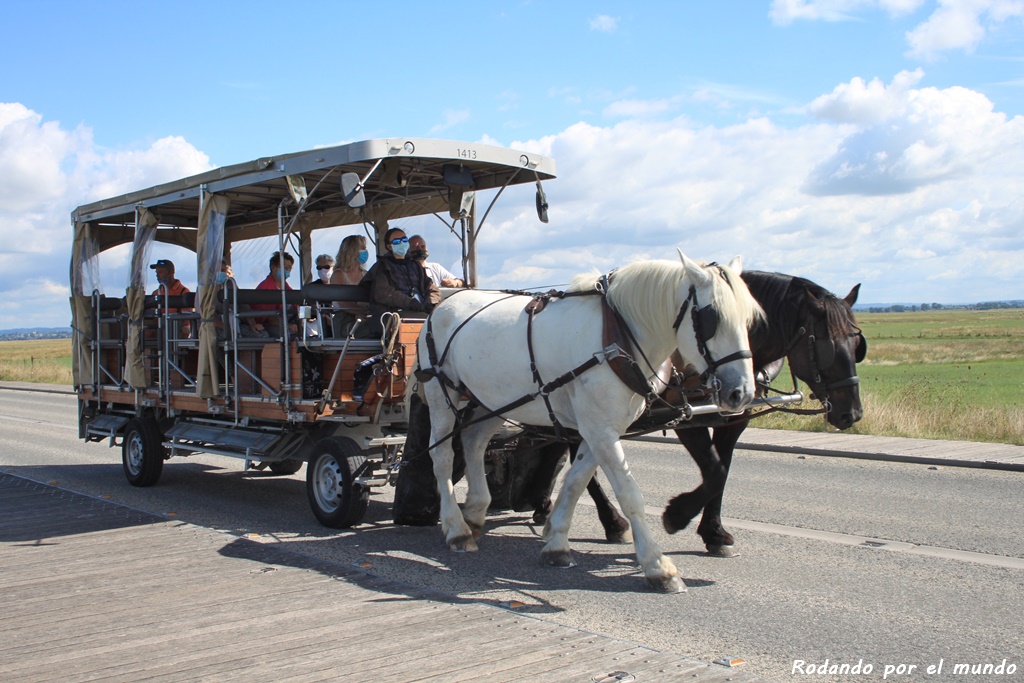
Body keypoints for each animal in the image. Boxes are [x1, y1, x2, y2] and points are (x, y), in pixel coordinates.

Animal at [415, 250, 761, 593]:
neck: (617, 335)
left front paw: (556, 542)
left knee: (473, 441)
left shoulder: (603, 428)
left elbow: (576, 481)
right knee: (442, 456)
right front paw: (657, 565)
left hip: (493, 400)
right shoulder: (600, 430)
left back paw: (475, 512)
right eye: (712, 318)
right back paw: (456, 529)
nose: (741, 392)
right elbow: (629, 494)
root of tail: (443, 306)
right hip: (441, 394)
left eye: (749, 321)